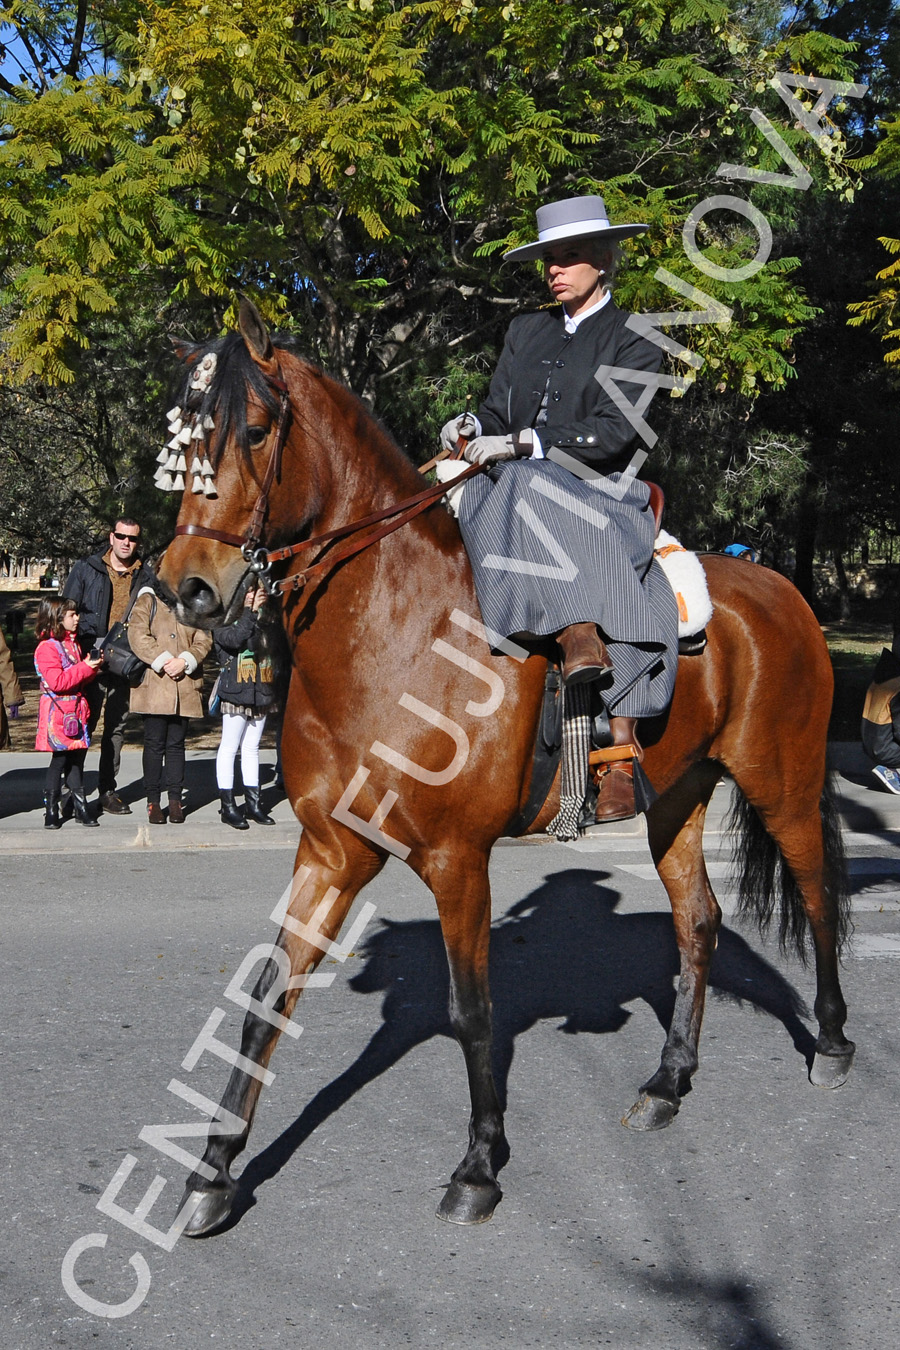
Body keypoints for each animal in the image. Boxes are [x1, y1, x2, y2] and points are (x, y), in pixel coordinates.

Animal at [158, 301, 858, 1236]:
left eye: (257, 430)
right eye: (185, 435)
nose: (187, 588)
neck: (396, 631)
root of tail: (781, 591)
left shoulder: (458, 860)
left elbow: (471, 1010)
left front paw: (479, 1165)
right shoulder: (331, 850)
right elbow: (268, 992)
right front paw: (213, 1174)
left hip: (782, 784)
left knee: (815, 895)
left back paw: (833, 1042)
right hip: (676, 798)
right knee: (699, 921)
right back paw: (669, 1081)